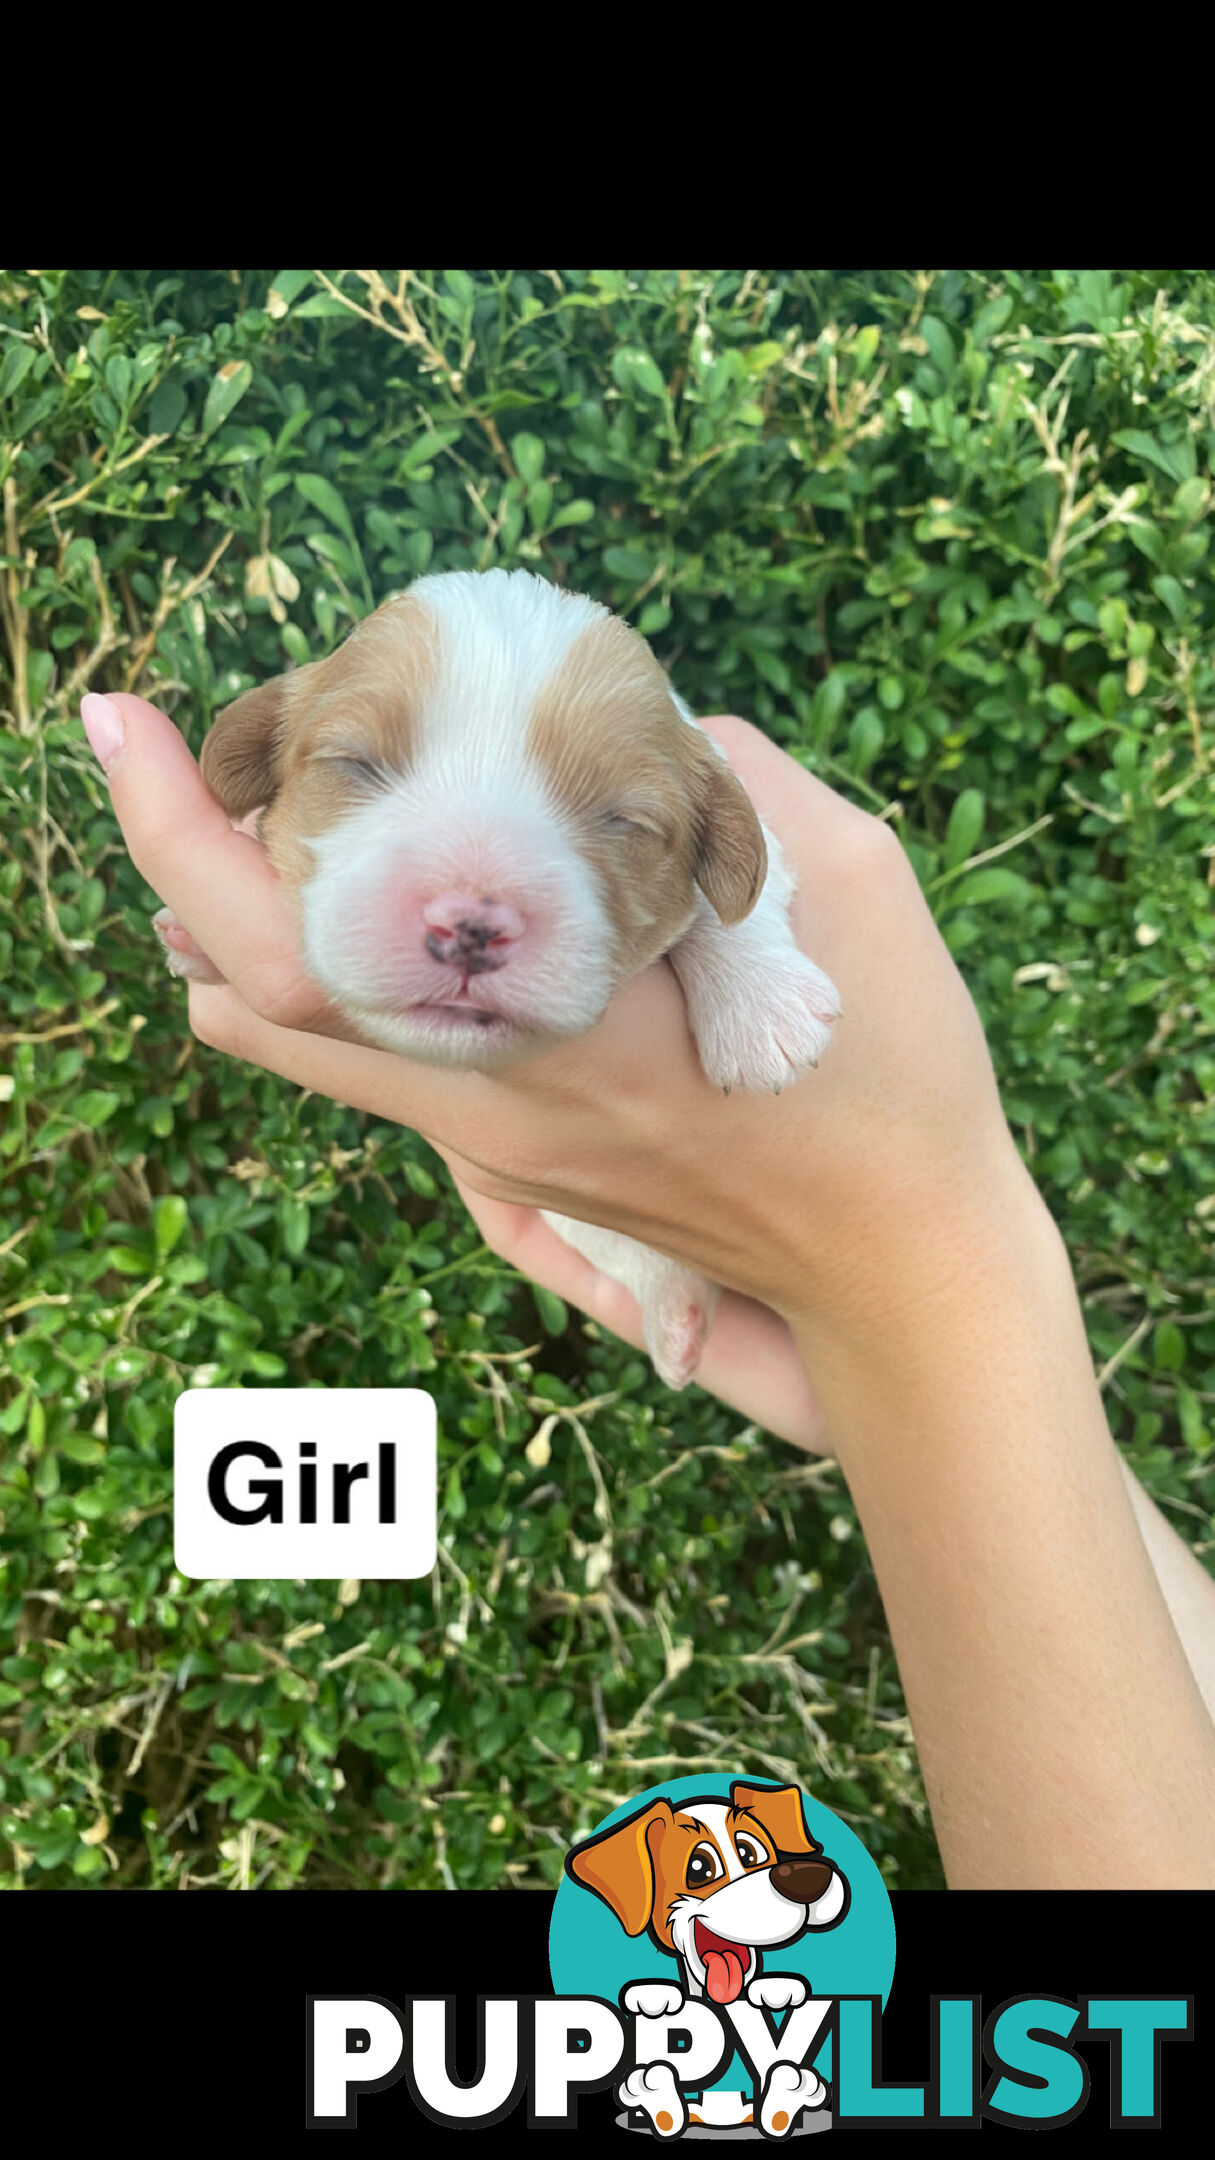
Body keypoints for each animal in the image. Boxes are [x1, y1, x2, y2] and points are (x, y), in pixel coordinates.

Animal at [165, 570, 838, 1382]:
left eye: (625, 821)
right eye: (352, 763)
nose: (470, 926)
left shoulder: (762, 828)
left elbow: (733, 901)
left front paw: (762, 1010)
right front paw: (195, 940)